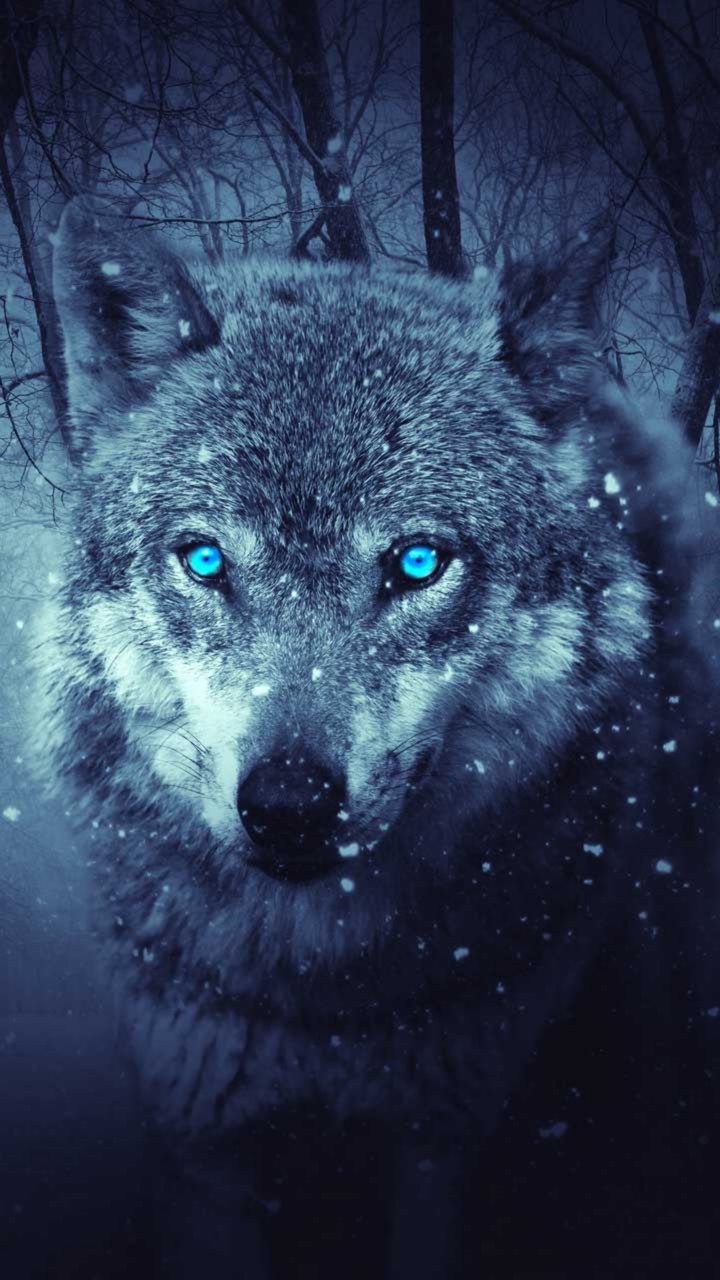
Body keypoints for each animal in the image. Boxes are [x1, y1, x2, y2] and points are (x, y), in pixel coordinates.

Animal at [35, 194, 719, 1277]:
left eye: (417, 561)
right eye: (204, 559)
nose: (289, 804)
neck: (325, 1000)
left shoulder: (446, 1138)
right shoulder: (203, 1141)